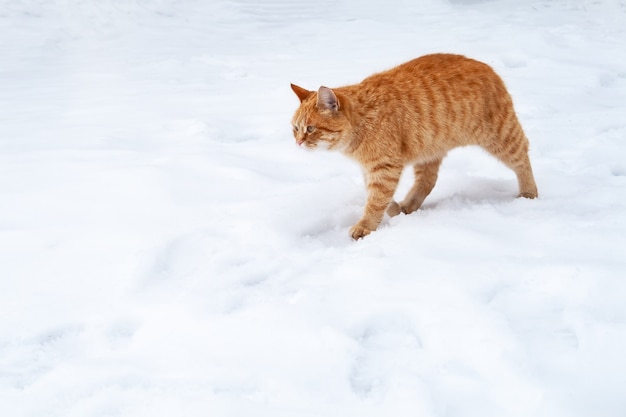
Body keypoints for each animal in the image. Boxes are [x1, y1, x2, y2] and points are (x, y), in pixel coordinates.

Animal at [288, 53, 536, 239]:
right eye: (295, 128)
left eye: (310, 129)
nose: (298, 142)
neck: (363, 119)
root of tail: (487, 66)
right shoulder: (372, 169)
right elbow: (377, 195)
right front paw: (393, 209)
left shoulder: (385, 167)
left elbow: (375, 201)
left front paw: (366, 225)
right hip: (428, 149)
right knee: (428, 180)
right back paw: (408, 206)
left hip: (502, 137)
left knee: (523, 155)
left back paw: (529, 192)